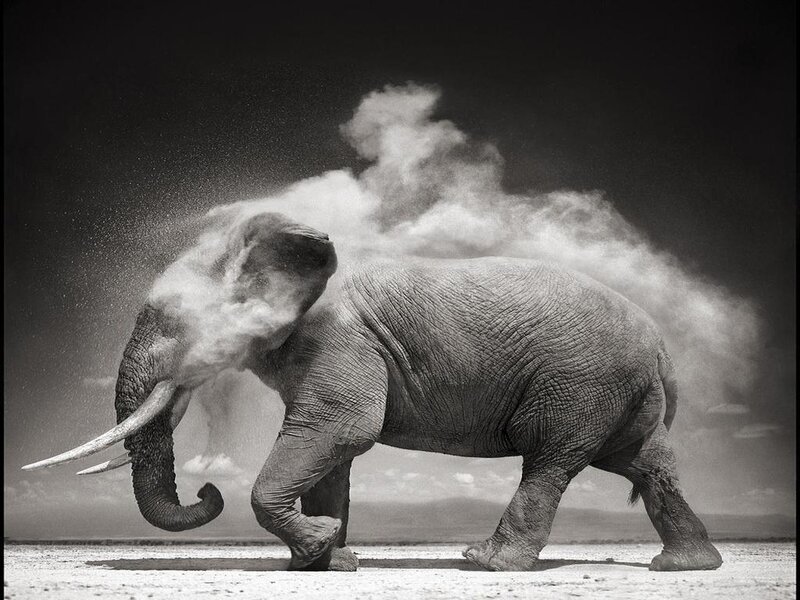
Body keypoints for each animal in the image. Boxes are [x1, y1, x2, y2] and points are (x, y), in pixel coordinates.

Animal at [23, 211, 723, 573]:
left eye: (171, 322)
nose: (206, 491)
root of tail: (662, 346)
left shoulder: (340, 339)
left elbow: (339, 430)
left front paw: (319, 545)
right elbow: (333, 453)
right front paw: (327, 558)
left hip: (580, 380)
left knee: (550, 460)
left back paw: (484, 563)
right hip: (619, 391)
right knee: (645, 464)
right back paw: (686, 567)